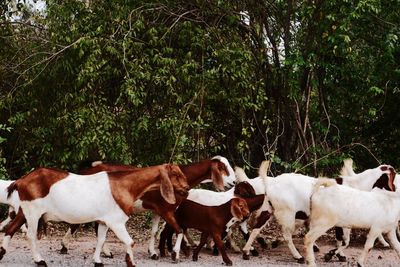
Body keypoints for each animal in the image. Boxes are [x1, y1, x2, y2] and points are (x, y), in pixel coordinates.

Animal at [0, 165, 189, 267]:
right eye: (175, 174)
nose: (186, 188)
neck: (125, 185)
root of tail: (22, 180)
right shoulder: (116, 221)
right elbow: (130, 242)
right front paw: (131, 262)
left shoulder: (104, 220)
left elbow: (100, 240)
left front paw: (98, 260)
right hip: (33, 211)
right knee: (30, 236)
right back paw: (40, 260)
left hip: (24, 210)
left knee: (10, 228)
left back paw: (2, 253)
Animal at [61, 156, 236, 260]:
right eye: (222, 168)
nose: (233, 182)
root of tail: (86, 171)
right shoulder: (167, 210)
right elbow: (179, 230)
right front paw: (176, 254)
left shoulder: (158, 210)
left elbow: (154, 232)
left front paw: (153, 252)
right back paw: (64, 246)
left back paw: (106, 251)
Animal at [234, 161, 394, 264]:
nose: (395, 190)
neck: (355, 184)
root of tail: (270, 184)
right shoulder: (341, 221)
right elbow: (345, 241)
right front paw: (331, 255)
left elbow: (343, 240)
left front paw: (338, 255)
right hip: (287, 213)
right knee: (286, 235)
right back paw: (297, 256)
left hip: (269, 210)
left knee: (256, 229)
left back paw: (247, 252)